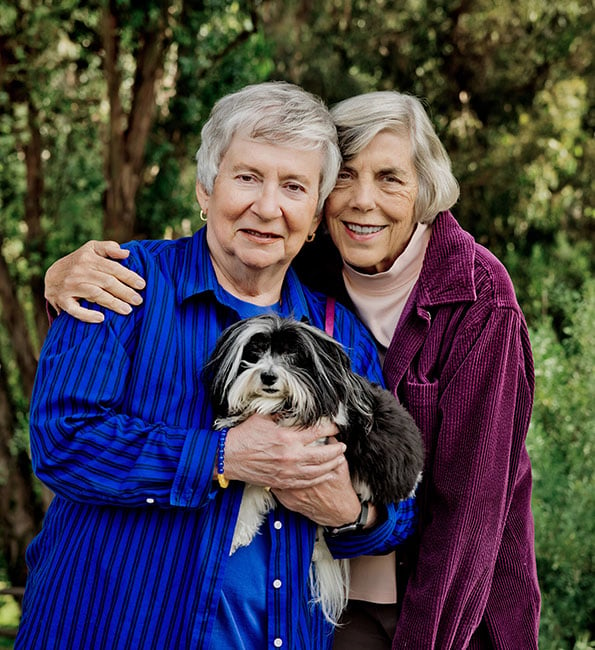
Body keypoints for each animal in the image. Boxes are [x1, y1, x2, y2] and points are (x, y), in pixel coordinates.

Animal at [204, 314, 424, 624]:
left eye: (292, 354)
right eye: (255, 351)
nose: (268, 376)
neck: (281, 405)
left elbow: (256, 486)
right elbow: (252, 483)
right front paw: (239, 527)